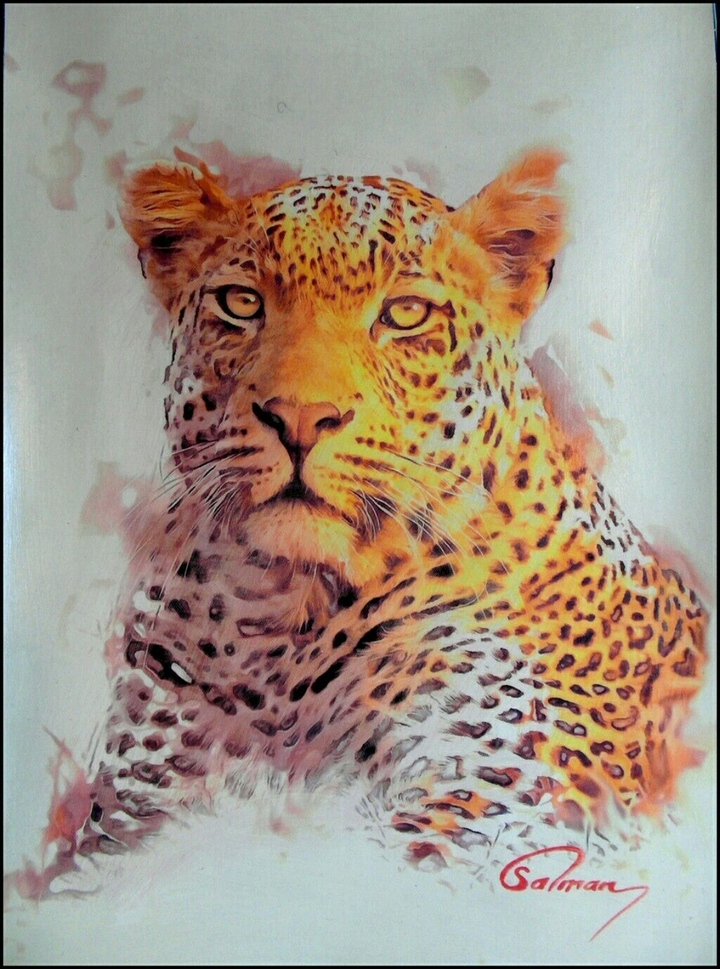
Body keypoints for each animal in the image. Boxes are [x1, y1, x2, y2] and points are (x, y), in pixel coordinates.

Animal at [12, 149, 707, 896]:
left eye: (404, 313)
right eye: (242, 303)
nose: (298, 417)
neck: (277, 626)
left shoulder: (497, 803)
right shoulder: (143, 796)